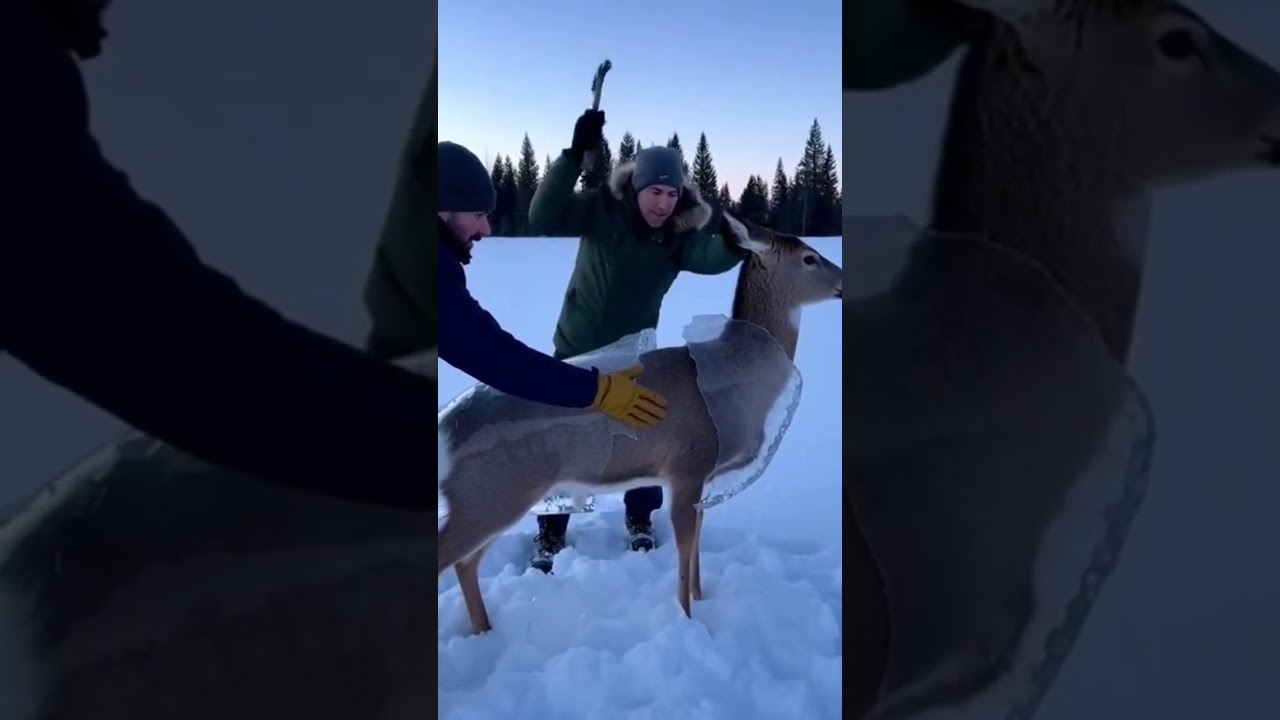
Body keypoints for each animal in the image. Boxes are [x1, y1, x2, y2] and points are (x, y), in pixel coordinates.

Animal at [437, 213, 843, 636]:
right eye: (810, 258)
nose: (843, 282)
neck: (733, 377)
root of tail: (447, 425)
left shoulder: (704, 475)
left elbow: (698, 538)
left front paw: (701, 597)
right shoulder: (686, 463)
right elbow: (685, 544)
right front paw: (686, 618)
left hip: (493, 495)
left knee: (465, 562)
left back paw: (485, 630)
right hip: (489, 491)